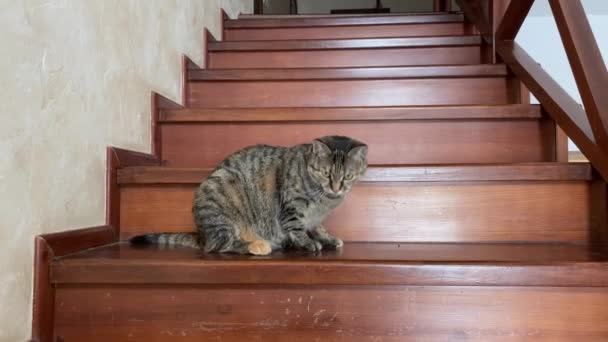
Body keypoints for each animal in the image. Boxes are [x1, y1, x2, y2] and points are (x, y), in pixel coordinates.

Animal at [131, 135, 368, 255]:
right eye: (325, 173)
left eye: (348, 176)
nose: (336, 188)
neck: (324, 202)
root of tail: (201, 234)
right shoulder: (291, 207)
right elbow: (297, 227)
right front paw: (307, 242)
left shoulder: (316, 217)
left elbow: (318, 228)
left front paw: (327, 238)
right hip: (219, 197)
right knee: (218, 245)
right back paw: (259, 245)